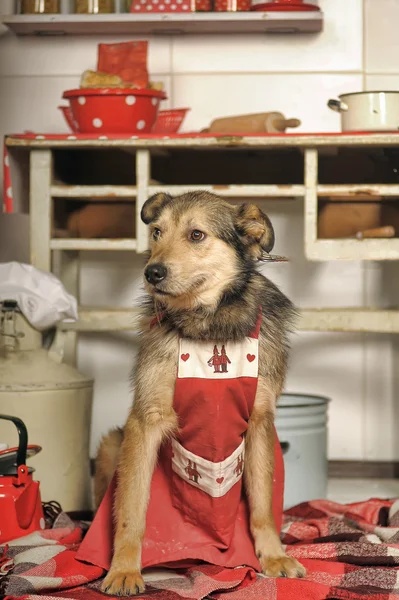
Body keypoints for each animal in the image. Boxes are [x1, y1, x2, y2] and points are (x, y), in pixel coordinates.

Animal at [94, 191, 306, 596]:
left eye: (196, 235)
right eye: (156, 232)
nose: (152, 273)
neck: (210, 324)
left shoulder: (259, 422)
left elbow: (262, 505)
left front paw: (272, 557)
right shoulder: (144, 421)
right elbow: (132, 509)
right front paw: (124, 570)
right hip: (113, 444)